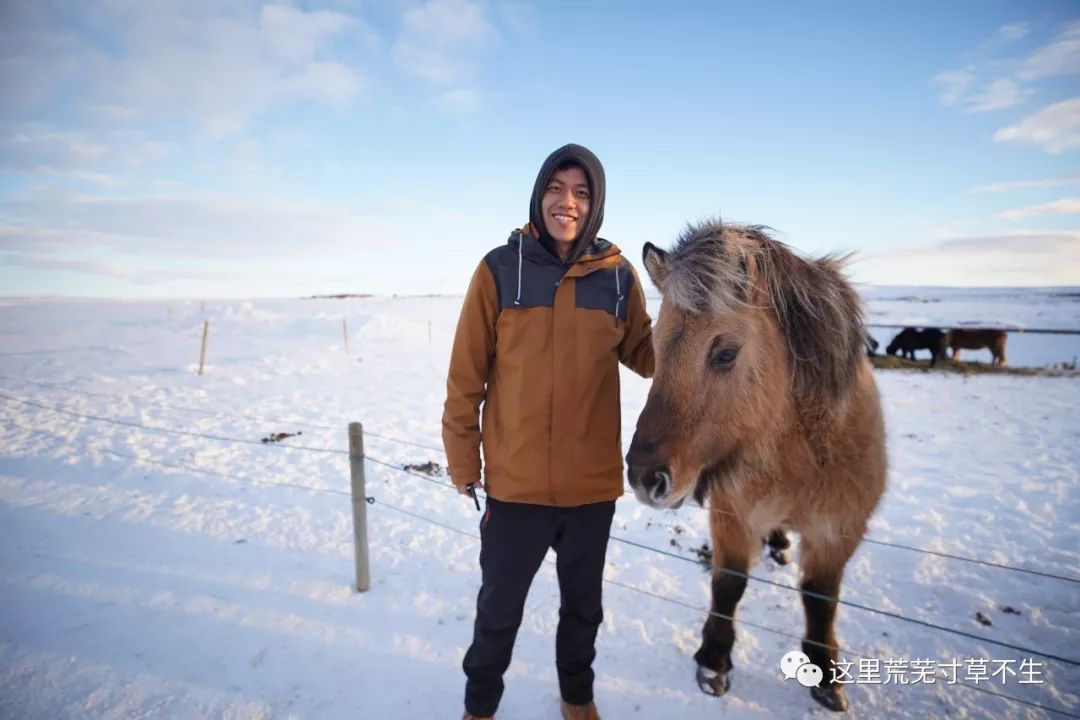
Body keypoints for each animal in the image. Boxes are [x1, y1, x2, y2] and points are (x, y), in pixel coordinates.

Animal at [626, 221, 885, 716]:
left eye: (726, 353)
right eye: (655, 345)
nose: (645, 478)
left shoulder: (839, 529)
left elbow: (820, 597)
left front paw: (826, 675)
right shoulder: (733, 514)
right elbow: (729, 584)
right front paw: (714, 661)